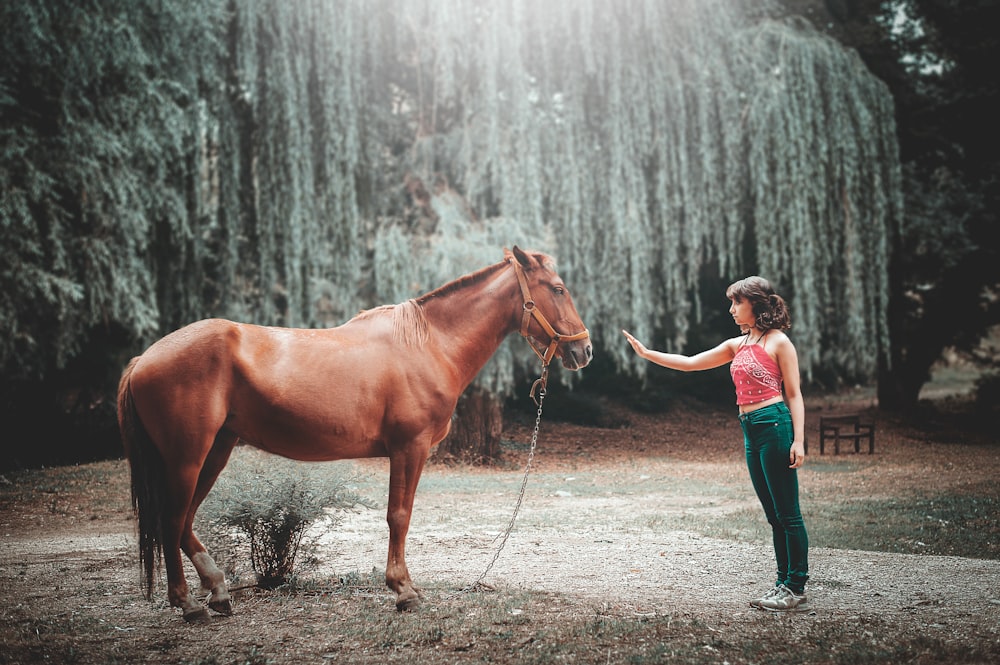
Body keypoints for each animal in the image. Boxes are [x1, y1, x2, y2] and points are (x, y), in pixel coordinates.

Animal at [115, 245, 592, 624]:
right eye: (558, 288)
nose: (583, 350)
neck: (428, 344)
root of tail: (143, 359)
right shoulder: (409, 448)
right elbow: (399, 516)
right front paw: (404, 591)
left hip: (215, 451)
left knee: (183, 522)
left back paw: (217, 592)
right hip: (186, 457)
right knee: (171, 520)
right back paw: (189, 604)